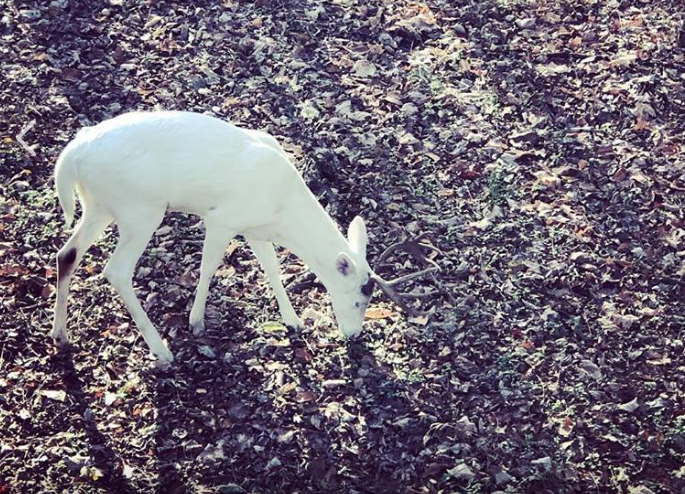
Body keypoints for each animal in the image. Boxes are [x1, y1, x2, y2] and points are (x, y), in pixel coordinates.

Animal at [52, 111, 432, 362]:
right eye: (357, 300)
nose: (354, 335)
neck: (282, 211)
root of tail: (72, 155)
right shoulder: (222, 219)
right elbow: (208, 268)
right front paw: (196, 322)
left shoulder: (255, 229)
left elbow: (273, 269)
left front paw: (293, 322)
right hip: (139, 209)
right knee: (116, 271)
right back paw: (162, 351)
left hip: (99, 205)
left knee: (66, 254)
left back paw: (60, 336)